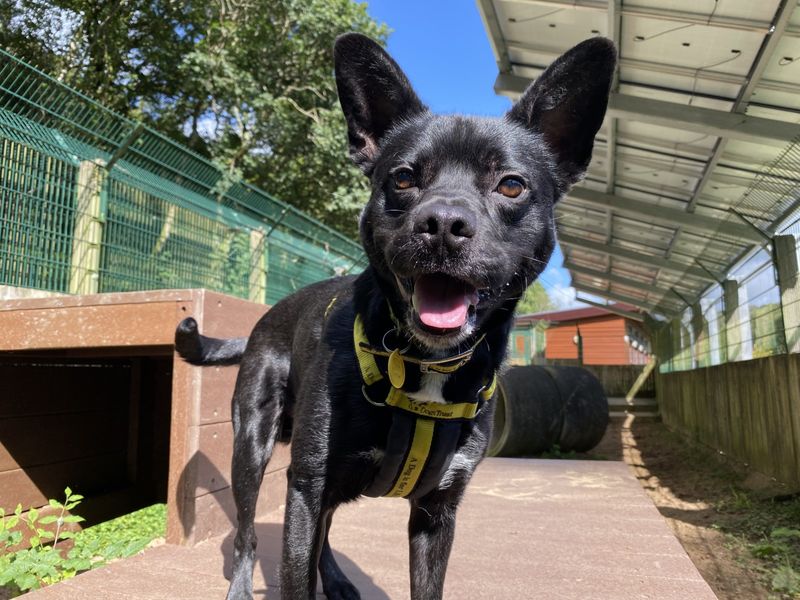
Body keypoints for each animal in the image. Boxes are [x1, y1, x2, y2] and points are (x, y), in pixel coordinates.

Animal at [175, 34, 612, 600]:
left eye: (511, 185)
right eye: (403, 178)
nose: (443, 223)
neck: (423, 364)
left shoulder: (436, 511)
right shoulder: (308, 483)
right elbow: (294, 572)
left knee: (323, 533)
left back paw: (338, 580)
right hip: (252, 444)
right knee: (249, 533)